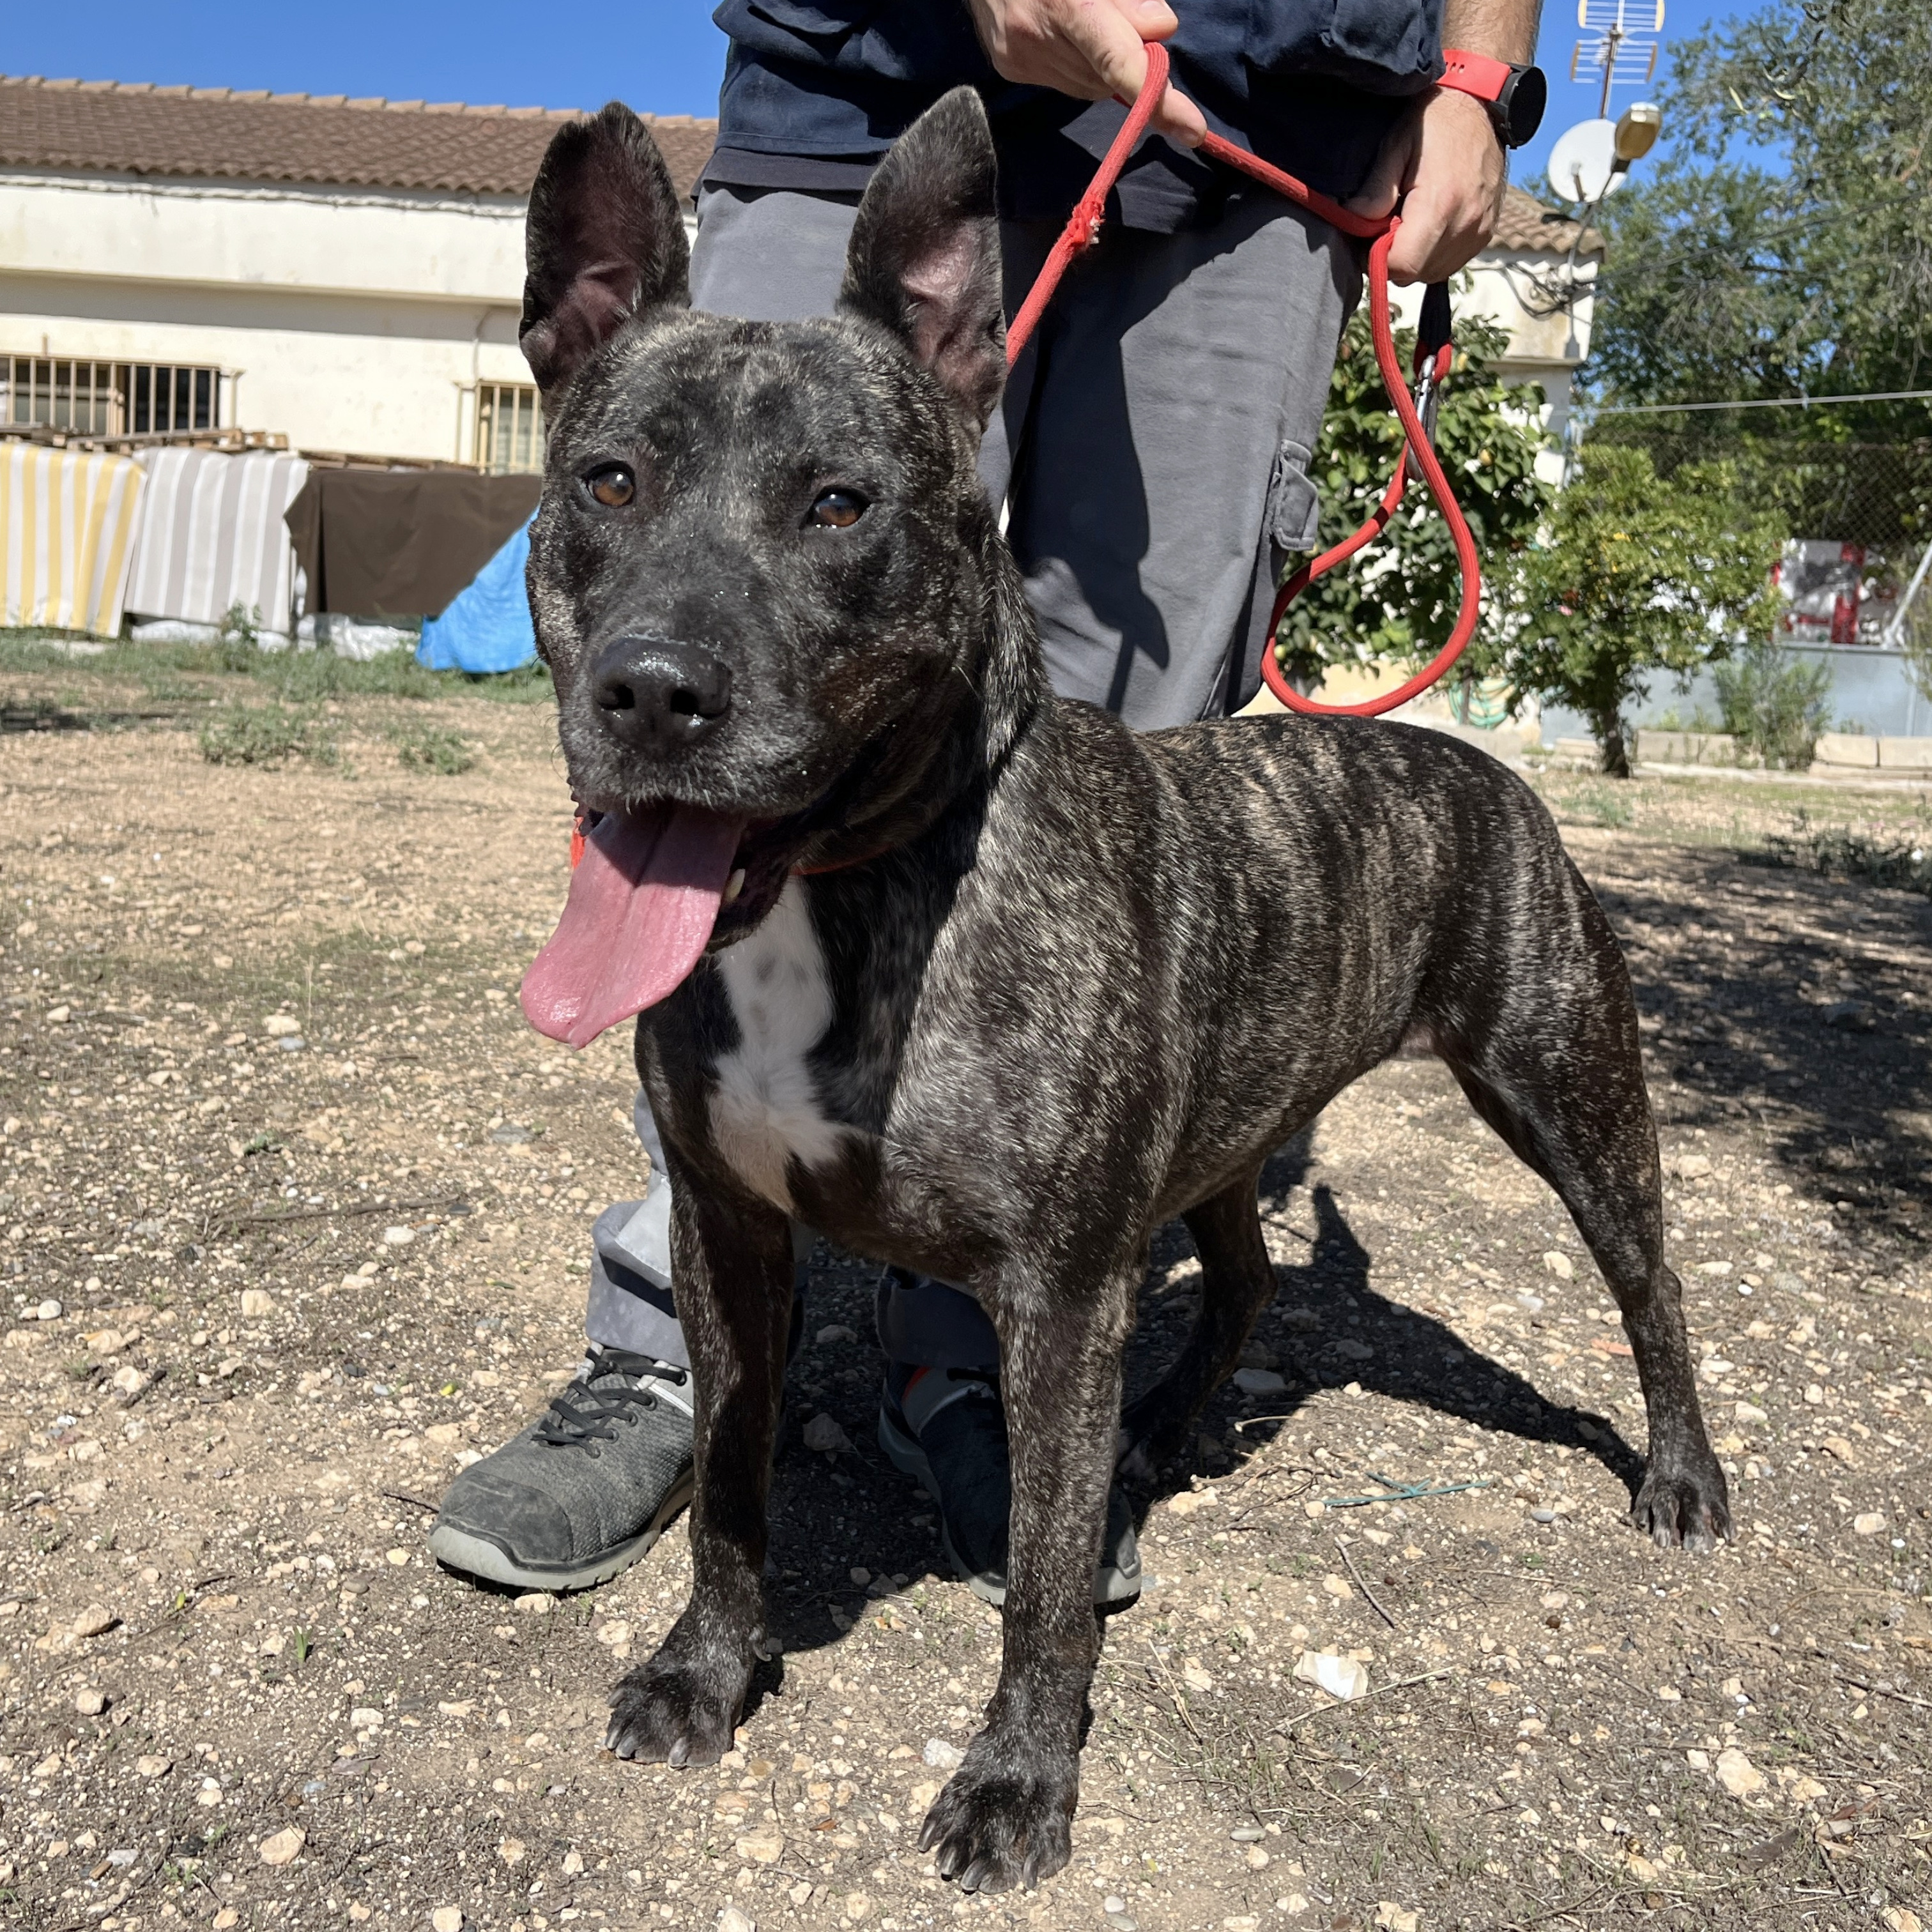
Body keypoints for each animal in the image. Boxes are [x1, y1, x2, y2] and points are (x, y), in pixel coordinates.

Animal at [511, 88, 1731, 1894]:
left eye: (839, 506)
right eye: (608, 479)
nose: (653, 689)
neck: (856, 890)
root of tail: (1470, 761)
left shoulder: (1060, 1296)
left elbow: (1038, 1578)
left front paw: (1018, 1780)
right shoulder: (729, 1236)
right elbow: (730, 1486)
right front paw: (708, 1672)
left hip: (1567, 1092)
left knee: (1648, 1285)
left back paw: (1682, 1474)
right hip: (1228, 1138)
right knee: (1248, 1282)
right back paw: (1161, 1436)